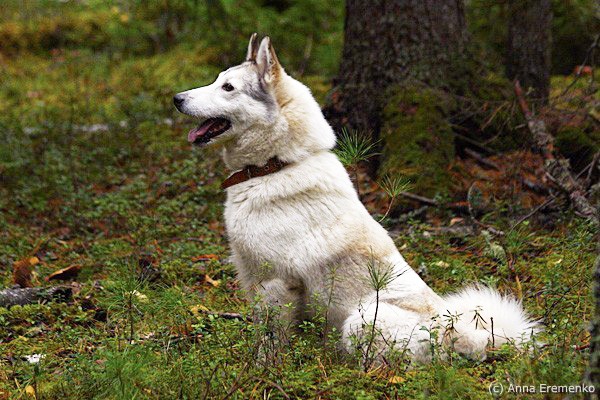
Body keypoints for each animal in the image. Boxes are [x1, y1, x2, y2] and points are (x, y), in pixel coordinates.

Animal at [174, 33, 538, 363]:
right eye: (217, 80)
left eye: (228, 88)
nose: (176, 98)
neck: (274, 166)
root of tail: (469, 336)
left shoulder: (277, 284)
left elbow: (272, 343)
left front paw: (264, 374)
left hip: (358, 323)